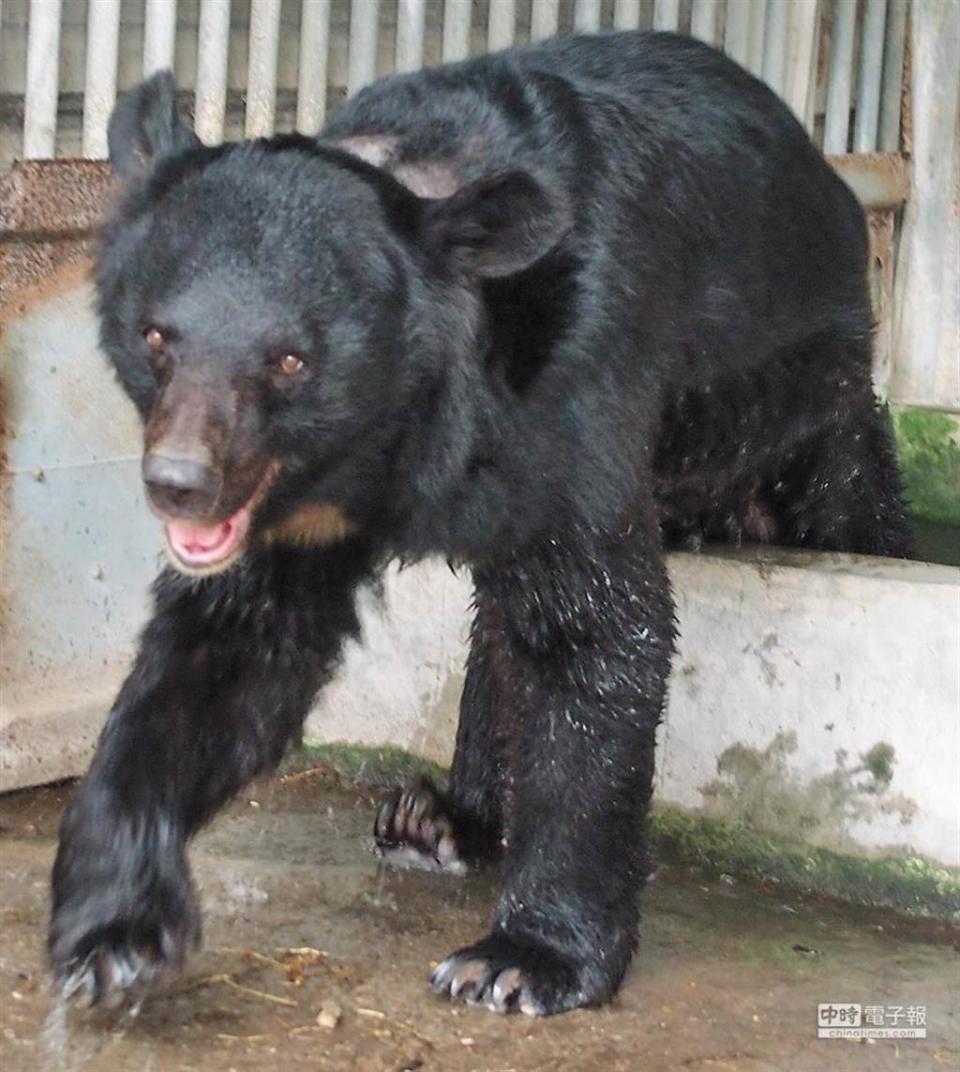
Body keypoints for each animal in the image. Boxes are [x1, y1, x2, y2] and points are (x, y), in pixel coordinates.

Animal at [48, 31, 912, 1011]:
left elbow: (597, 630)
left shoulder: (575, 387)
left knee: (848, 506)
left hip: (816, 411)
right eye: (157, 338)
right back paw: (437, 820)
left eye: (291, 360)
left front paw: (521, 960)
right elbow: (230, 650)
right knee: (496, 632)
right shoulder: (289, 503)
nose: (181, 486)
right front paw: (112, 933)